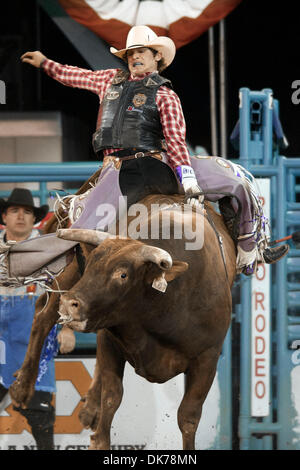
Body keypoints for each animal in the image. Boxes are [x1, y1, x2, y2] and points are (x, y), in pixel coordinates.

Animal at [9, 194, 237, 448]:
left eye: (122, 274)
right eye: (90, 264)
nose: (70, 303)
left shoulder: (207, 359)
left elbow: (188, 417)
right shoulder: (111, 340)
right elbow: (112, 395)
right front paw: (100, 437)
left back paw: (89, 408)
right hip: (69, 276)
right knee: (43, 316)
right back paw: (23, 387)